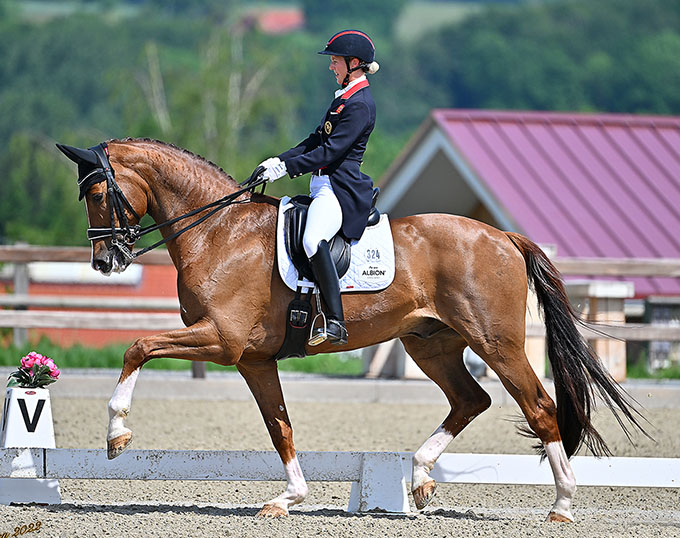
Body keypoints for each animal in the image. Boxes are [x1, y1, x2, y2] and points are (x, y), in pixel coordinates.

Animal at [58, 137, 648, 520]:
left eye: (97, 194)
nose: (105, 262)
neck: (218, 231)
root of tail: (502, 235)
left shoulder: (221, 340)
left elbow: (138, 346)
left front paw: (116, 435)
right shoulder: (252, 359)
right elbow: (279, 426)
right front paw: (287, 499)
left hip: (496, 342)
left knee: (539, 408)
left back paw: (563, 505)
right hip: (430, 344)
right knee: (470, 400)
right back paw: (421, 478)